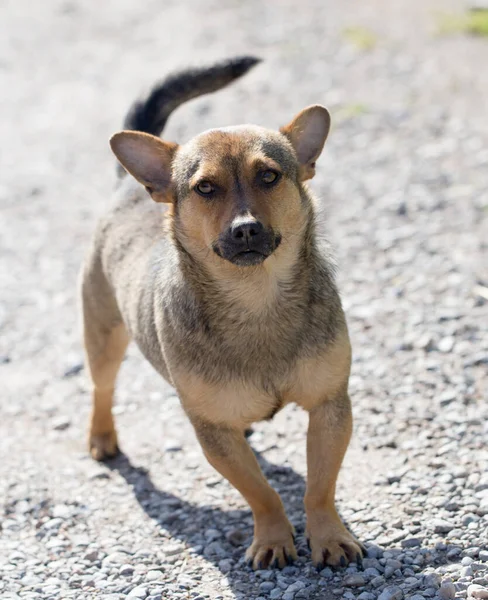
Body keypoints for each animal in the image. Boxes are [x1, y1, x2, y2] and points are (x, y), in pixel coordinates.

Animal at [81, 57, 362, 572]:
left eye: (269, 176)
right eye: (205, 188)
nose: (245, 228)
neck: (255, 299)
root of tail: (131, 187)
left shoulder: (330, 406)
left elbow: (319, 486)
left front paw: (328, 536)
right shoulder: (213, 434)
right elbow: (262, 493)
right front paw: (273, 537)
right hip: (104, 336)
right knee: (102, 389)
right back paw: (102, 437)